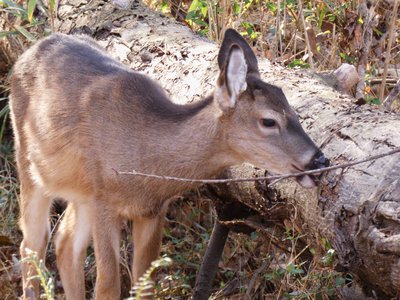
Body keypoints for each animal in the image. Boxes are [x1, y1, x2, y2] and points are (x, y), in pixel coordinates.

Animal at [9, 28, 330, 300]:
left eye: (295, 112)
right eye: (268, 121)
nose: (320, 160)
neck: (147, 163)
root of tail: (29, 51)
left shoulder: (152, 210)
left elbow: (145, 286)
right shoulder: (104, 203)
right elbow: (108, 286)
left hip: (80, 193)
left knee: (64, 243)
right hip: (28, 163)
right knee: (32, 244)